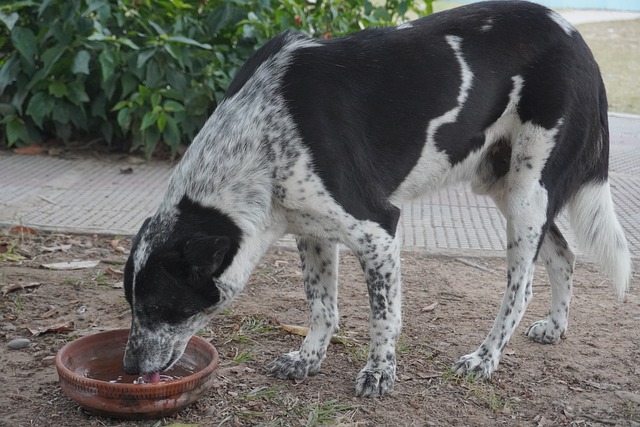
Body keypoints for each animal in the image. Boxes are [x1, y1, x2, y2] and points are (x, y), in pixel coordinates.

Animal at [122, 0, 632, 398]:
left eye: (161, 308)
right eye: (132, 306)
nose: (129, 367)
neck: (255, 140)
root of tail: (578, 38)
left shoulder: (377, 230)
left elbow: (383, 315)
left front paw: (380, 372)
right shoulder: (311, 232)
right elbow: (321, 306)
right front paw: (308, 360)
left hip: (528, 192)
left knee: (520, 287)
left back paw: (485, 358)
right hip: (503, 185)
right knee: (564, 255)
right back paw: (555, 327)